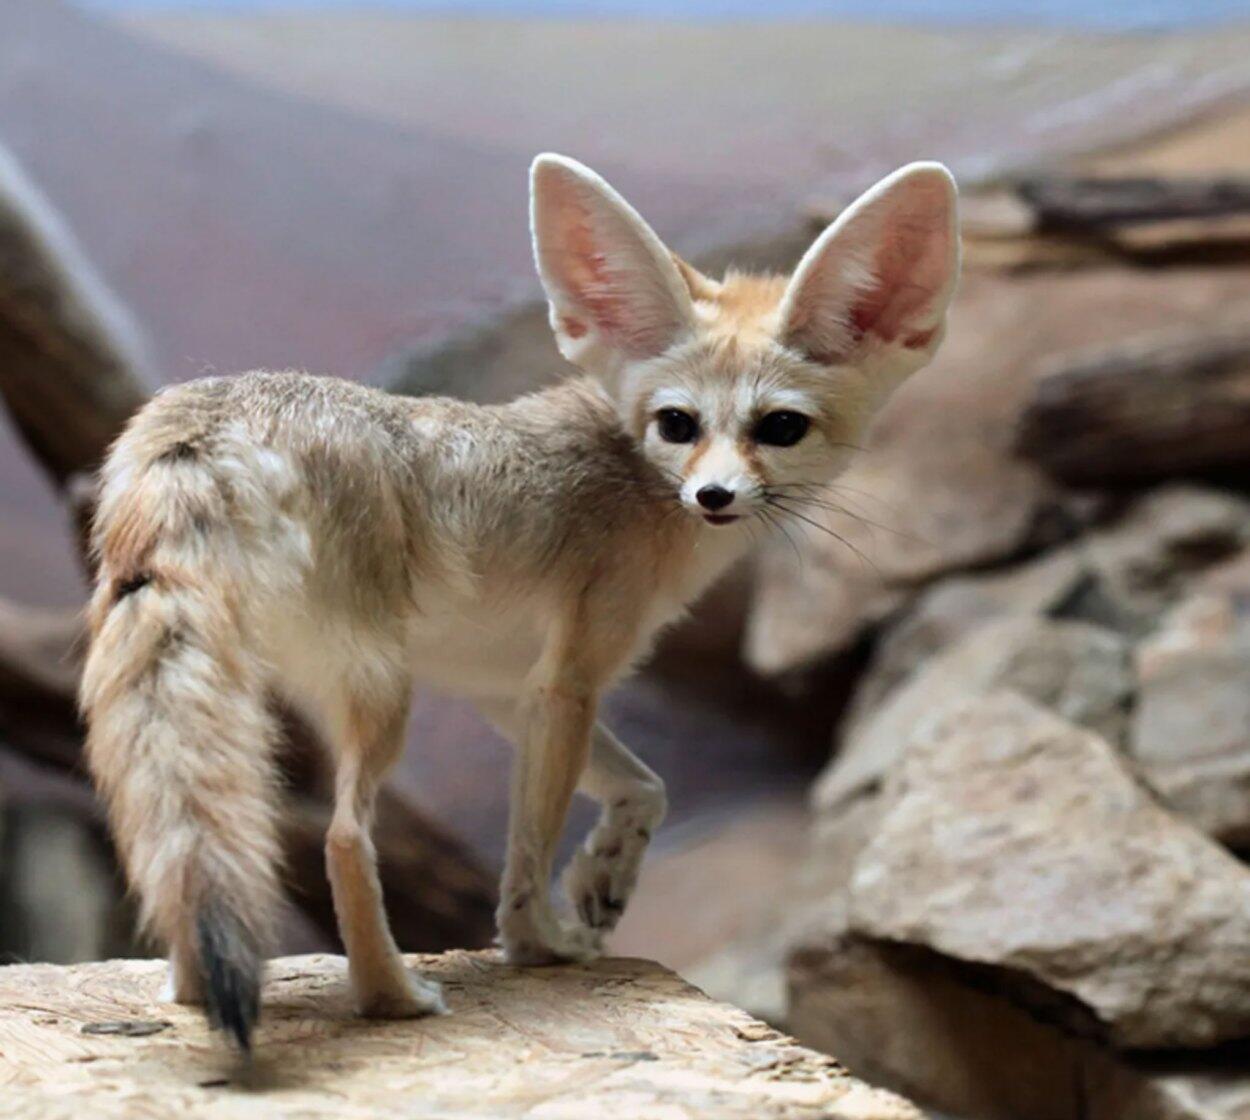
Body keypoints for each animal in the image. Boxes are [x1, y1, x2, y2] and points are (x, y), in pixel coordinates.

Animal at [80, 154, 959, 1049]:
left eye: (780, 428)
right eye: (677, 424)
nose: (712, 496)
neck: (634, 477)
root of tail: (205, 422)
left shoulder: (503, 688)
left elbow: (646, 786)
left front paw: (606, 877)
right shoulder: (568, 682)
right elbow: (529, 849)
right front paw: (541, 943)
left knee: (187, 846)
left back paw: (192, 987)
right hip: (382, 697)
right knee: (342, 838)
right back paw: (390, 996)